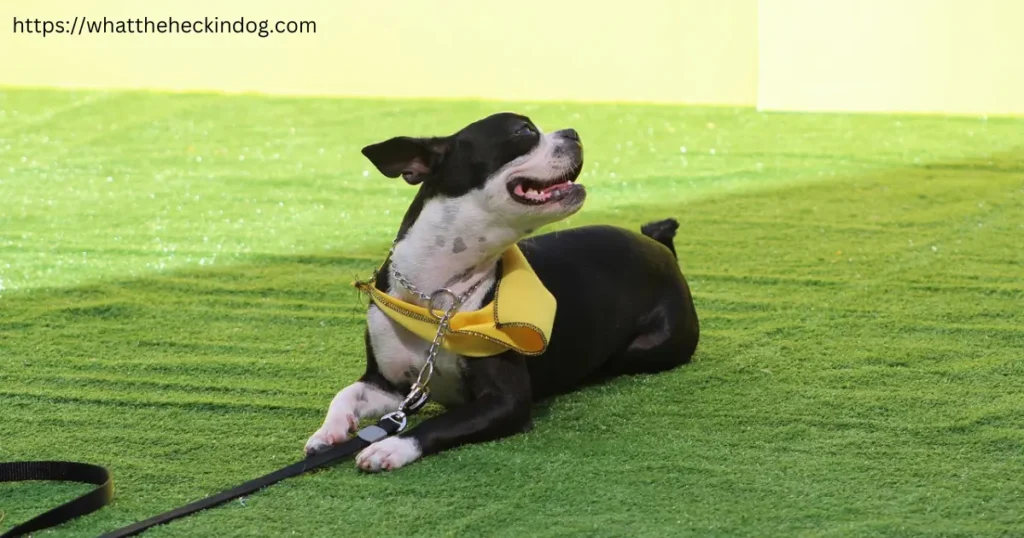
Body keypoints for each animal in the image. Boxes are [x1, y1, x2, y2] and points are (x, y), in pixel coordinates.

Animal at [303, 112, 700, 469]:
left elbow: (438, 424)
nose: (573, 131)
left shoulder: (506, 401)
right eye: (523, 131)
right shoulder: (387, 385)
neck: (436, 297)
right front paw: (328, 432)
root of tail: (662, 248)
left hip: (646, 348)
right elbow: (344, 394)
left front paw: (391, 447)